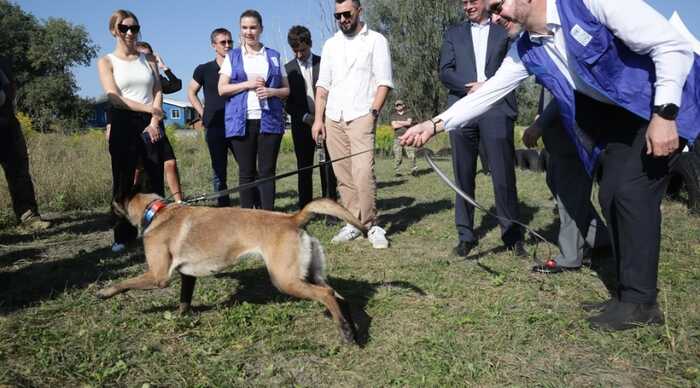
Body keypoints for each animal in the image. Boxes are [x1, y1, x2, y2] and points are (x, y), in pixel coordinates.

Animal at [100, 192, 370, 344]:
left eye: (115, 204)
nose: (108, 212)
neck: (156, 213)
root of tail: (292, 218)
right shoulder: (187, 276)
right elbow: (184, 299)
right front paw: (181, 317)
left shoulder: (157, 276)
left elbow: (124, 283)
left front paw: (105, 292)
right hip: (309, 275)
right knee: (339, 297)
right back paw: (352, 330)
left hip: (286, 280)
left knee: (326, 295)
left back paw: (345, 333)